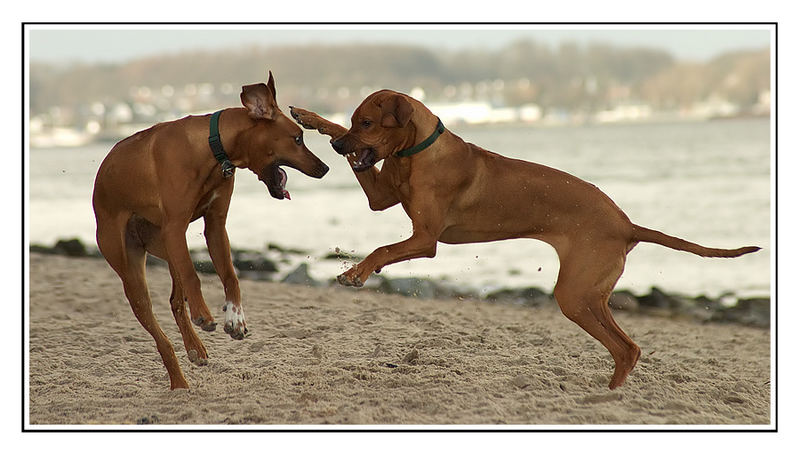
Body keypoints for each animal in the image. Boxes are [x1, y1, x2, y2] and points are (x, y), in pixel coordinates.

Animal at [92, 72, 330, 390]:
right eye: (298, 138)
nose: (325, 168)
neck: (213, 148)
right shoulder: (175, 227)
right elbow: (195, 276)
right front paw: (205, 315)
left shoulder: (215, 226)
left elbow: (230, 276)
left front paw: (235, 318)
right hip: (133, 267)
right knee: (158, 329)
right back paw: (179, 380)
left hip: (168, 247)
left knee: (175, 301)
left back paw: (194, 348)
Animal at [290, 90, 760, 388]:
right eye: (354, 121)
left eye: (368, 122)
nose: (338, 146)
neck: (417, 152)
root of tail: (627, 224)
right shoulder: (381, 198)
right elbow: (361, 171)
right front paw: (312, 118)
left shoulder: (425, 239)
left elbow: (384, 248)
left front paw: (355, 272)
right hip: (589, 293)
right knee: (626, 347)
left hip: (575, 293)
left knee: (625, 348)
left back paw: (608, 398)